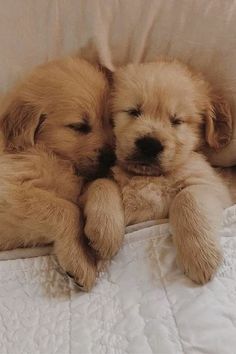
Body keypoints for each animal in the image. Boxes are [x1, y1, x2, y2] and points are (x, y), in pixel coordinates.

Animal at [0, 57, 118, 290]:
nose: (112, 158)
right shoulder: (9, 191)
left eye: (110, 121)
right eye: (79, 126)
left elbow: (103, 182)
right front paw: (80, 260)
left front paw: (106, 232)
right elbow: (67, 210)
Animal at [84, 59, 233, 284]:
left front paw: (200, 257)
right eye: (133, 111)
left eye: (177, 121)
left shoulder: (210, 184)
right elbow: (102, 182)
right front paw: (105, 232)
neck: (147, 176)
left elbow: (187, 198)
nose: (150, 145)